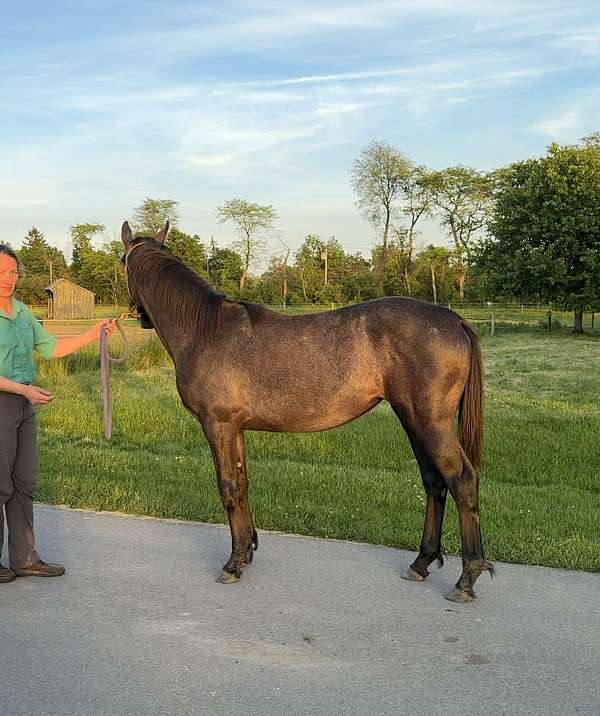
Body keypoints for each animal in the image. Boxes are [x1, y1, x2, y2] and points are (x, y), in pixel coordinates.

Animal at [121, 221, 493, 602]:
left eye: (122, 261)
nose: (140, 317)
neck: (204, 331)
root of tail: (454, 321)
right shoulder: (236, 428)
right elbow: (243, 483)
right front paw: (248, 551)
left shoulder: (218, 425)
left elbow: (228, 487)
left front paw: (233, 563)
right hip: (413, 419)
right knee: (434, 482)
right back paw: (420, 563)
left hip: (431, 422)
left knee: (462, 481)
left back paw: (466, 580)